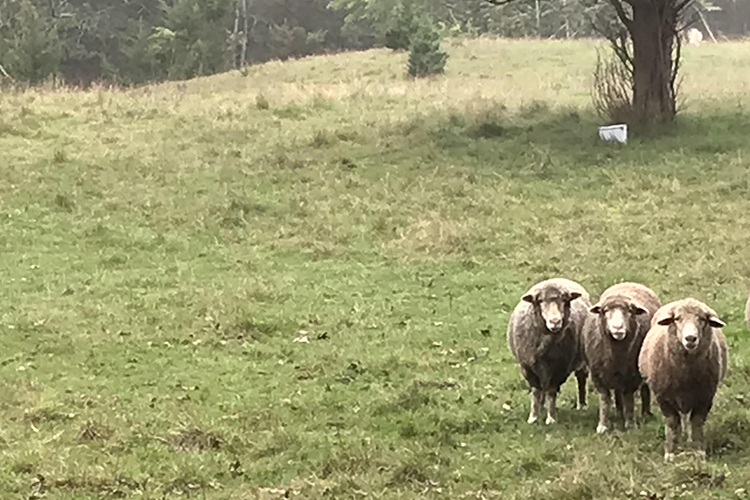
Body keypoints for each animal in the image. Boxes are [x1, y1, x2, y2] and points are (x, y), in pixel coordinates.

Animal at [512, 278, 592, 426]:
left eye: (565, 300)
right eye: (540, 300)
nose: (555, 321)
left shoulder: (559, 369)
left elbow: (551, 392)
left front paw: (551, 418)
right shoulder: (527, 366)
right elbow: (536, 392)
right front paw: (533, 417)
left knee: (581, 377)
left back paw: (582, 404)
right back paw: (542, 406)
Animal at [584, 284, 660, 436]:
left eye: (629, 311)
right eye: (605, 311)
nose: (617, 327)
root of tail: (629, 283)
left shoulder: (633, 376)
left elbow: (629, 399)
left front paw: (630, 424)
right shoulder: (597, 376)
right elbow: (605, 400)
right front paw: (602, 425)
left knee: (644, 389)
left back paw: (646, 413)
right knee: (618, 392)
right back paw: (619, 413)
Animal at [640, 296, 728, 460]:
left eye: (702, 319)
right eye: (677, 319)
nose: (690, 338)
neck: (685, 374)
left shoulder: (705, 397)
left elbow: (697, 422)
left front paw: (699, 451)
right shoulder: (663, 397)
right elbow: (673, 423)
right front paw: (670, 452)